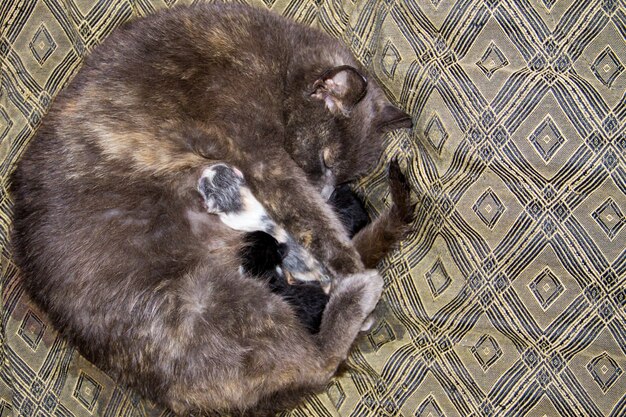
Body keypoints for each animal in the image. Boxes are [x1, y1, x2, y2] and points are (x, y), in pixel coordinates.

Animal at [9, 2, 414, 412]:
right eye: (326, 160)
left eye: (347, 177)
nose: (328, 190)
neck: (279, 66)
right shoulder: (261, 156)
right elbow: (313, 219)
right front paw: (346, 264)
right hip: (208, 301)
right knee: (318, 363)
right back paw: (360, 291)